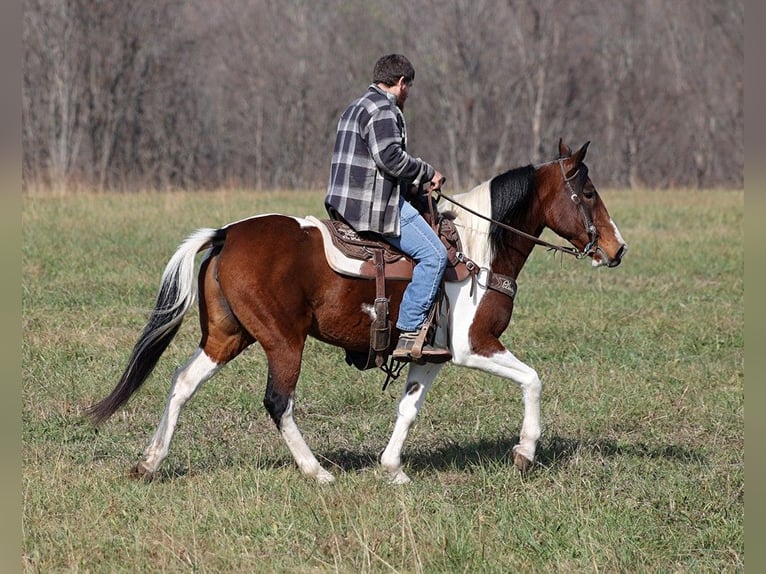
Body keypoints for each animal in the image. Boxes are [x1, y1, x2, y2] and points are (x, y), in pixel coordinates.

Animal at [90, 141, 632, 486]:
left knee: (182, 382)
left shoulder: (428, 357)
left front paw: (392, 468)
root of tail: (227, 234)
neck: (480, 248)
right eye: (588, 193)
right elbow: (532, 380)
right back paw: (317, 472)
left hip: (227, 337)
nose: (617, 248)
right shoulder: (474, 347)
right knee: (278, 402)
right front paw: (523, 454)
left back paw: (150, 463)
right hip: (283, 342)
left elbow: (408, 409)